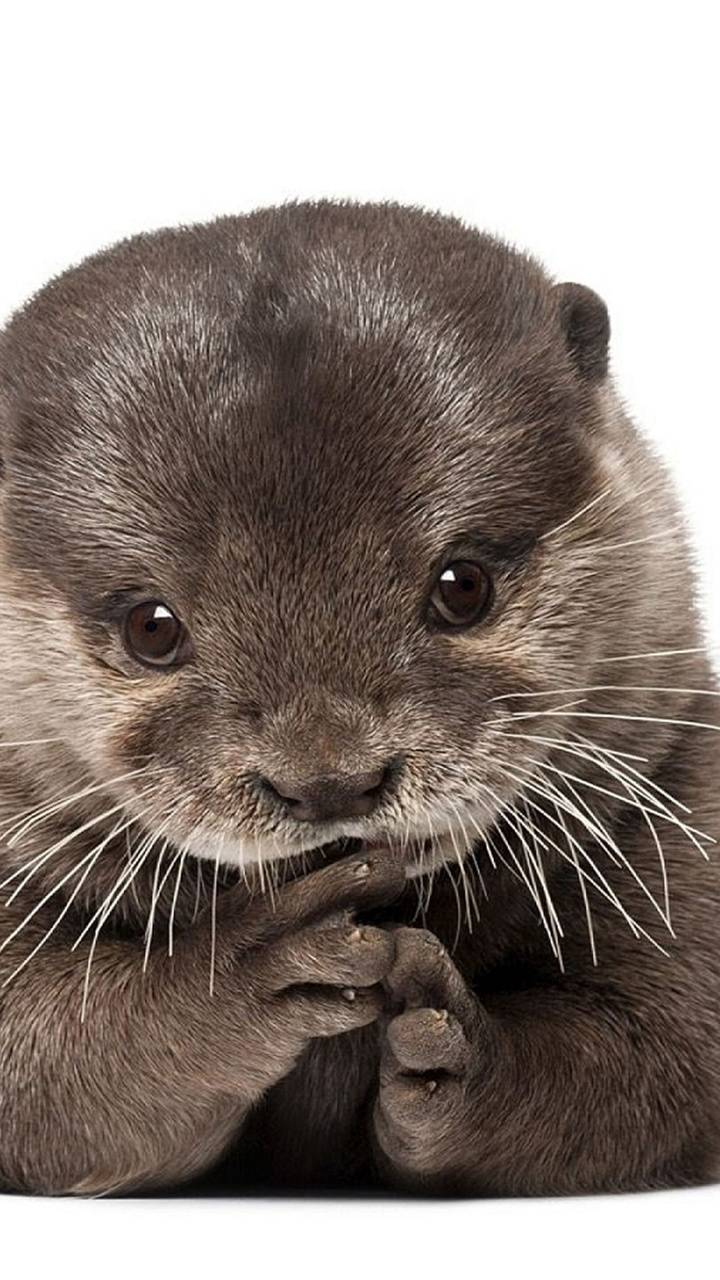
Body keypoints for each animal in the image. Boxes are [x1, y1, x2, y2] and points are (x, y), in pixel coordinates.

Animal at [0, 199, 718, 1197]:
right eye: (152, 626)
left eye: (462, 585)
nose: (330, 781)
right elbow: (40, 1062)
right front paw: (243, 972)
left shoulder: (682, 787)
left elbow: (670, 1045)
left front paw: (456, 1052)